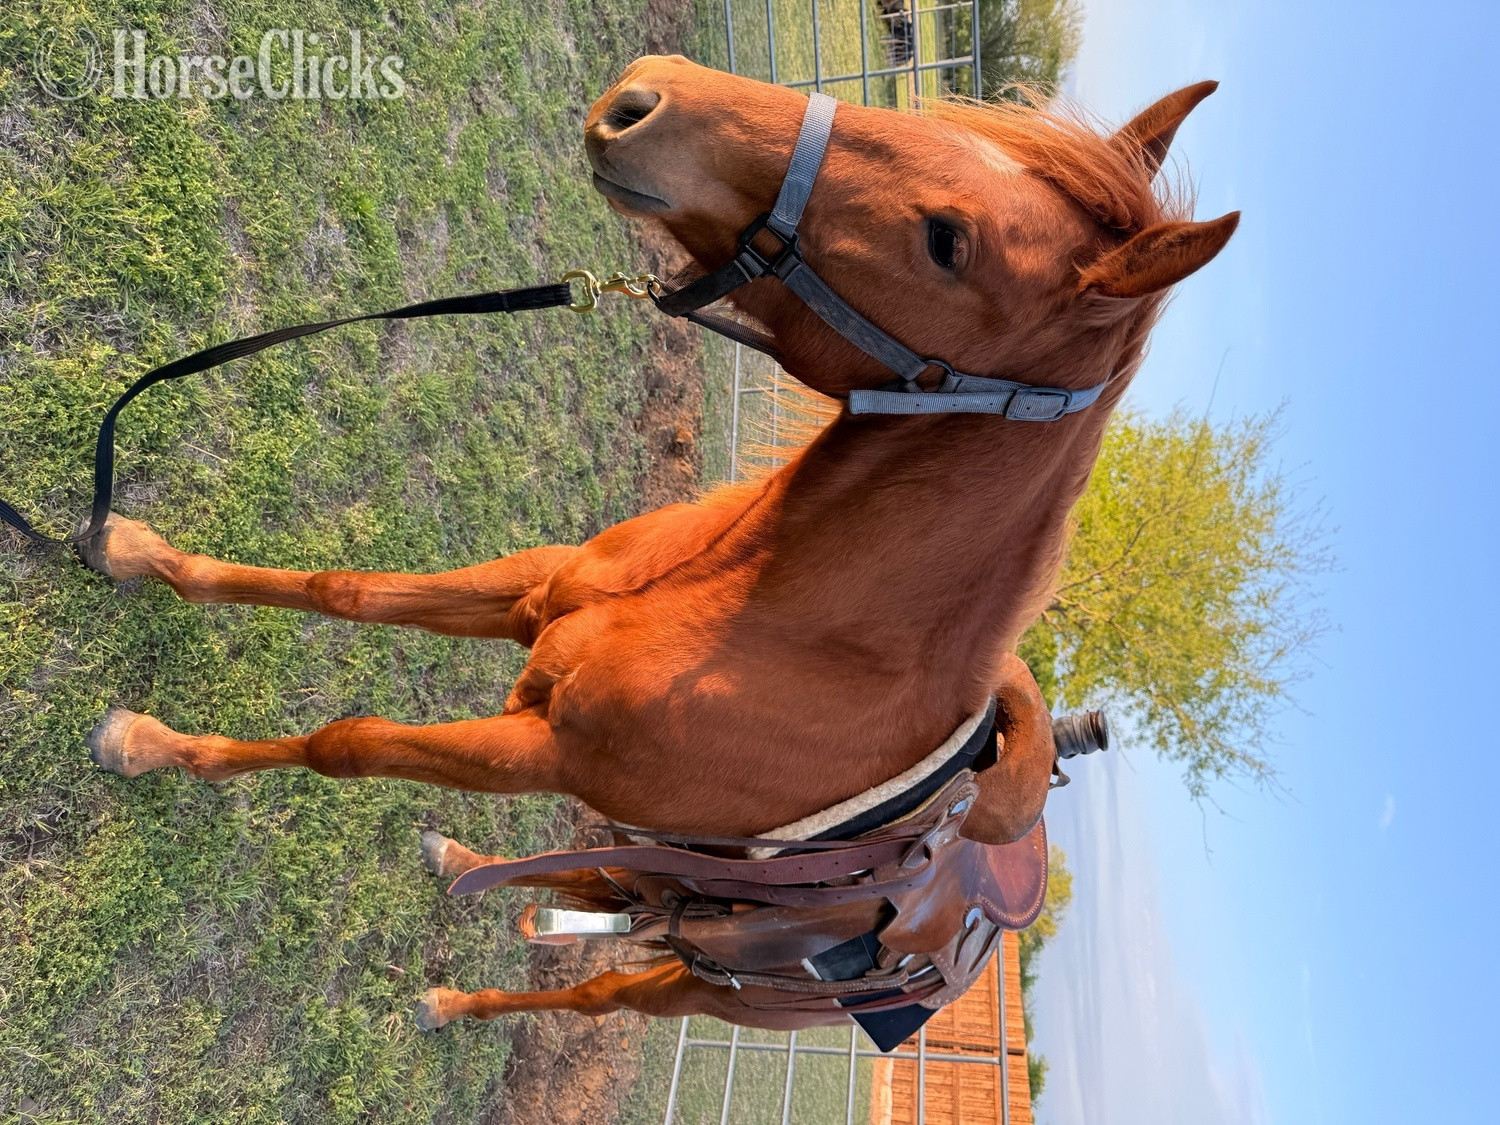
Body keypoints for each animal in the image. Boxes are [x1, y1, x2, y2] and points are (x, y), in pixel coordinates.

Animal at [79, 55, 1238, 1031]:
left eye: (949, 241)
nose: (642, 96)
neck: (762, 615)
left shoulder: (542, 748)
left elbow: (346, 744)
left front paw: (147, 745)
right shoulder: (534, 595)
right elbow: (343, 589)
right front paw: (131, 552)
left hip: (707, 985)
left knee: (595, 991)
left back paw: (454, 997)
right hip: (670, 874)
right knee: (595, 880)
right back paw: (456, 862)